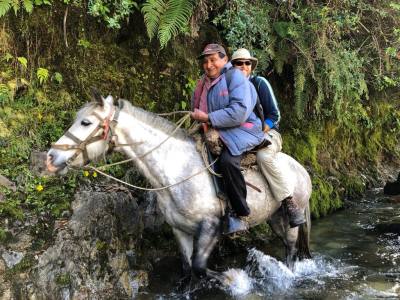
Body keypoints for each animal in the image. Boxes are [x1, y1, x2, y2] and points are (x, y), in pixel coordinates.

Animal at [46, 91, 312, 282]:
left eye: (85, 122)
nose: (50, 157)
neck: (176, 172)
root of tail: (302, 169)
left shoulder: (210, 227)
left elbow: (200, 267)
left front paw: (234, 280)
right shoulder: (180, 231)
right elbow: (186, 269)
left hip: (291, 218)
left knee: (290, 249)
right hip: (275, 218)